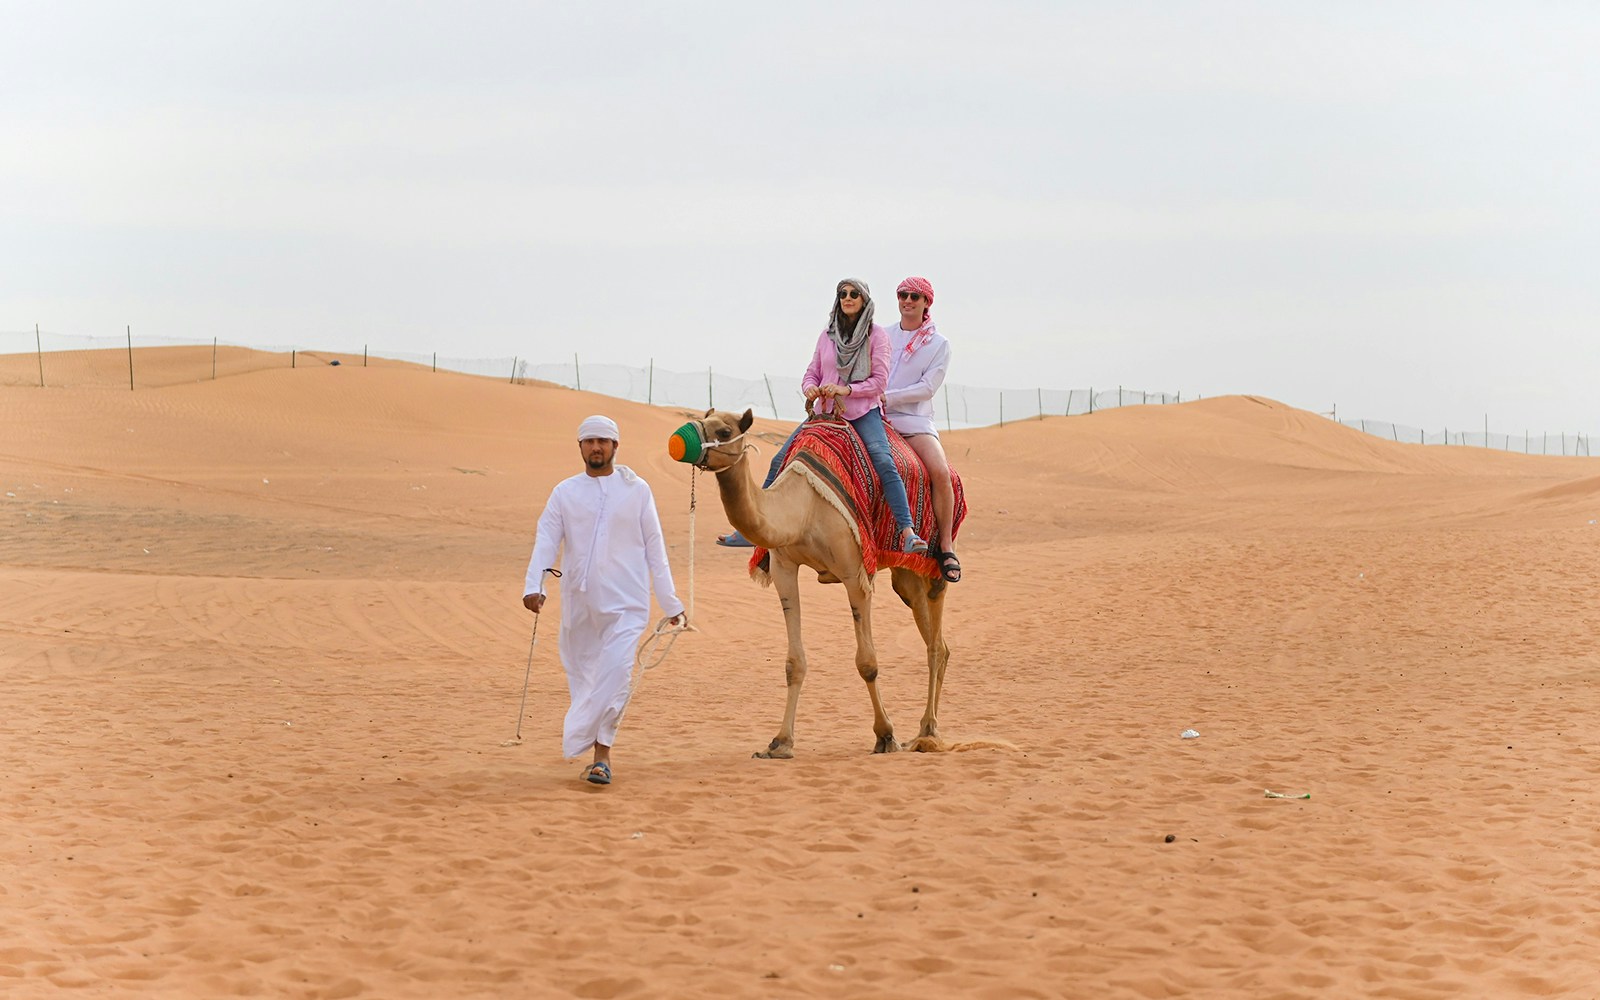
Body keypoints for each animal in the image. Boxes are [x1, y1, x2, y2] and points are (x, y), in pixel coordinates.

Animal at [670, 408, 950, 758]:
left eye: (724, 431)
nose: (678, 441)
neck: (803, 510)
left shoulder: (854, 573)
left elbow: (867, 662)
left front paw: (886, 736)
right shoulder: (784, 569)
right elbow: (794, 663)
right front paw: (779, 743)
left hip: (932, 562)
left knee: (935, 642)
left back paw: (929, 732)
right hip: (906, 575)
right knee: (936, 639)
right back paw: (926, 731)